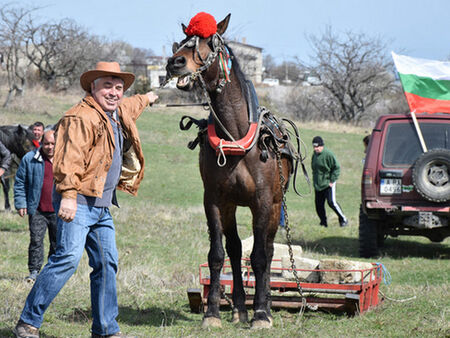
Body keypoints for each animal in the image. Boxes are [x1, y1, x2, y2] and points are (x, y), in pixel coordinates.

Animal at [167, 14, 298, 328]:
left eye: (209, 42)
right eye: (183, 41)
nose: (174, 62)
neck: (235, 136)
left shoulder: (263, 202)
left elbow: (260, 256)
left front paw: (261, 313)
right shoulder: (215, 201)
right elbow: (218, 254)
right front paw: (212, 313)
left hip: (275, 206)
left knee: (268, 249)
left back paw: (265, 307)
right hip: (231, 206)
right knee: (236, 249)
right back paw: (239, 308)